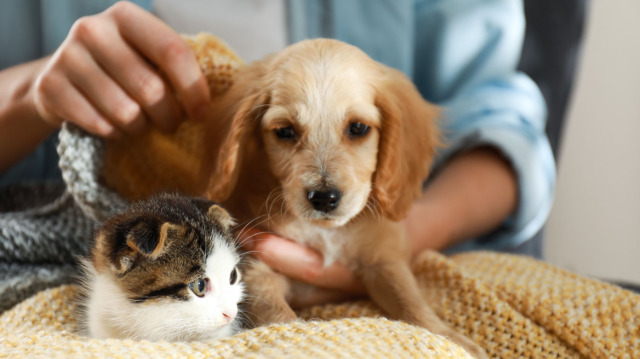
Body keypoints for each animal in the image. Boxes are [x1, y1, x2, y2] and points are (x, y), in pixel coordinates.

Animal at [208, 38, 488, 358]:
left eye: (358, 128)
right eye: (285, 131)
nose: (324, 198)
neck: (325, 233)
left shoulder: (384, 259)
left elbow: (409, 298)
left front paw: (449, 338)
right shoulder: (257, 268)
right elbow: (275, 312)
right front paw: (293, 338)